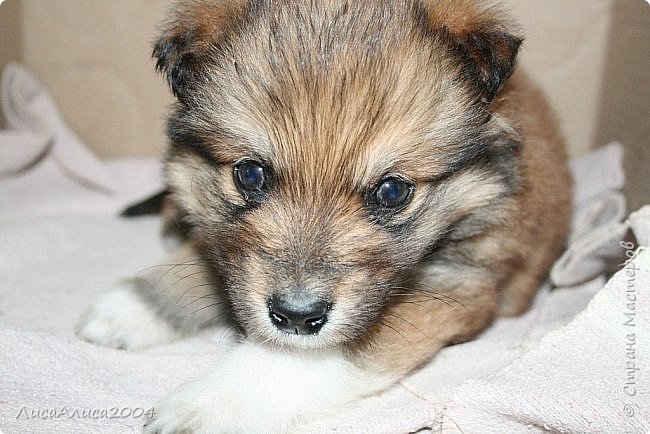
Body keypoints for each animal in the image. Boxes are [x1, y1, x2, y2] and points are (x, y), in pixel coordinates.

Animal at [77, 0, 568, 430]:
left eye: (392, 191)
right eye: (250, 174)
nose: (296, 316)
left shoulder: (456, 288)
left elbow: (304, 358)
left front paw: (208, 404)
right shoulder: (229, 245)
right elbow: (208, 255)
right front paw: (130, 309)